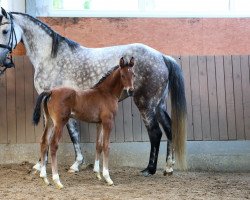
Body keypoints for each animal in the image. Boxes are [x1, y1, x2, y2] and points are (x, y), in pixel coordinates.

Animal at [33, 57, 135, 188]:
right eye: (122, 75)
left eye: (133, 74)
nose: (131, 90)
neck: (106, 93)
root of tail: (51, 92)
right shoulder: (108, 122)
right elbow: (106, 146)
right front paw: (107, 177)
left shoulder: (99, 123)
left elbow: (98, 145)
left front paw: (98, 174)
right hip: (59, 123)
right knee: (53, 145)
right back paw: (57, 180)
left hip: (50, 121)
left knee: (44, 142)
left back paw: (45, 177)